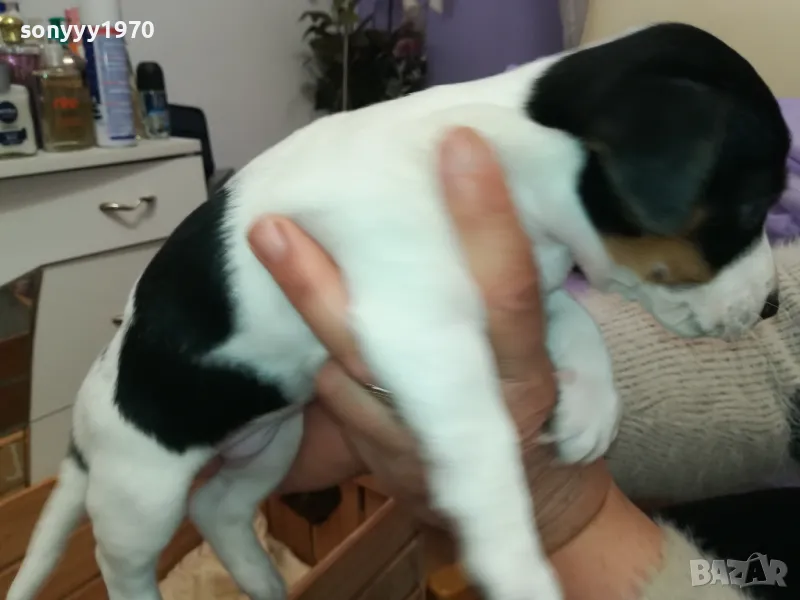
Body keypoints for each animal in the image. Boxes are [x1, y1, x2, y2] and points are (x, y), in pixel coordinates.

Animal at [7, 22, 789, 600]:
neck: (509, 147)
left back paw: (260, 578)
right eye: (754, 206)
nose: (774, 304)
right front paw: (515, 562)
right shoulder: (423, 336)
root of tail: (81, 430)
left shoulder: (519, 287)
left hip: (272, 441)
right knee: (125, 563)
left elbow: (581, 323)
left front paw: (593, 406)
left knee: (220, 507)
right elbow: (487, 448)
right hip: (140, 496)